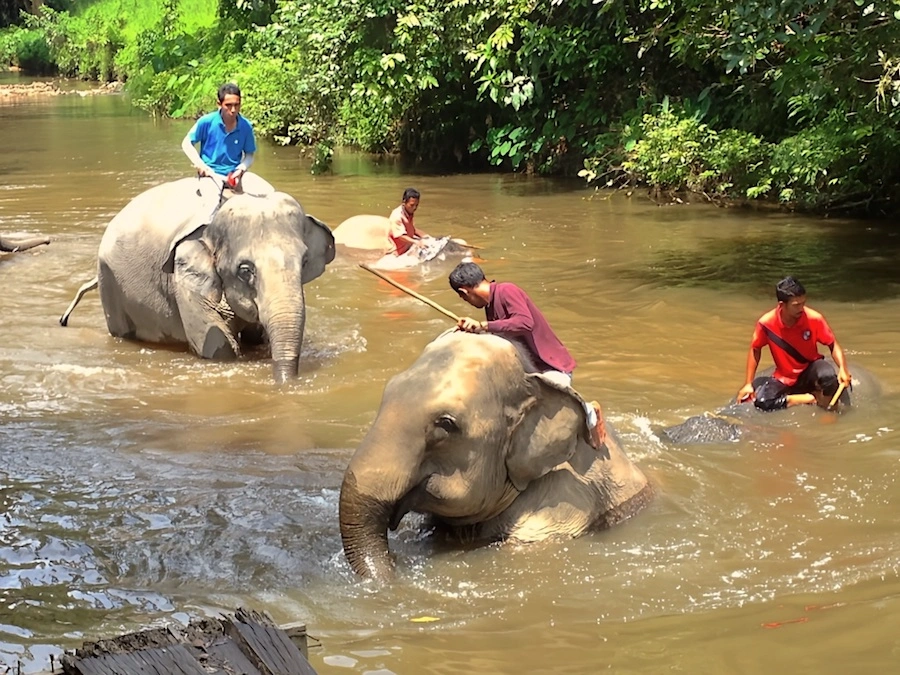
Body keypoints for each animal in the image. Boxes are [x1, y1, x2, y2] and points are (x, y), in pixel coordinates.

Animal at [59, 175, 335, 383]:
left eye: (304, 262)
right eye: (245, 271)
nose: (285, 383)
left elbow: (256, 338)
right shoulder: (184, 276)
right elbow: (217, 347)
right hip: (109, 282)